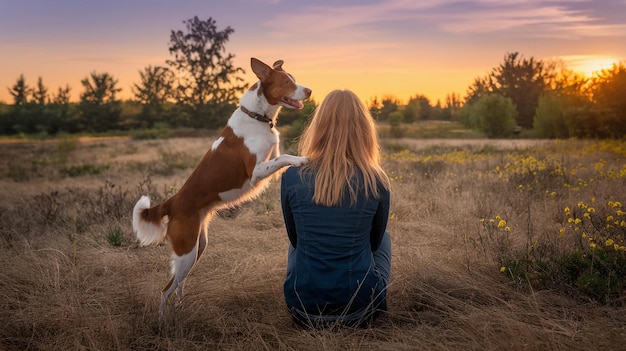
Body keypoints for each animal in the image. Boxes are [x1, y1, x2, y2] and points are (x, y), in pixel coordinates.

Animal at [135, 57, 314, 316]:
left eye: (293, 79)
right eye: (285, 82)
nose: (309, 91)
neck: (257, 117)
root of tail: (174, 201)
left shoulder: (270, 161)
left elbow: (282, 157)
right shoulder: (256, 172)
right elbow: (286, 157)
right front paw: (302, 160)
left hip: (197, 247)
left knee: (179, 283)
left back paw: (181, 308)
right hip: (186, 250)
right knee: (165, 289)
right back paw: (162, 320)